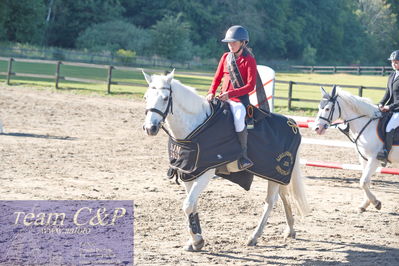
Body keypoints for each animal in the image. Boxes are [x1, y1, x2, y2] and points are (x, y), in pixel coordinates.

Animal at [142, 69, 310, 250]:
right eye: (146, 97)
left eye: (165, 98)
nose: (150, 128)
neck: (196, 125)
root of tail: (292, 123)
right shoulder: (189, 172)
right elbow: (192, 204)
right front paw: (194, 240)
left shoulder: (206, 172)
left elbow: (187, 205)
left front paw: (197, 240)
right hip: (274, 175)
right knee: (284, 195)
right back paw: (290, 229)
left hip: (275, 171)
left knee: (270, 201)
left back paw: (254, 236)